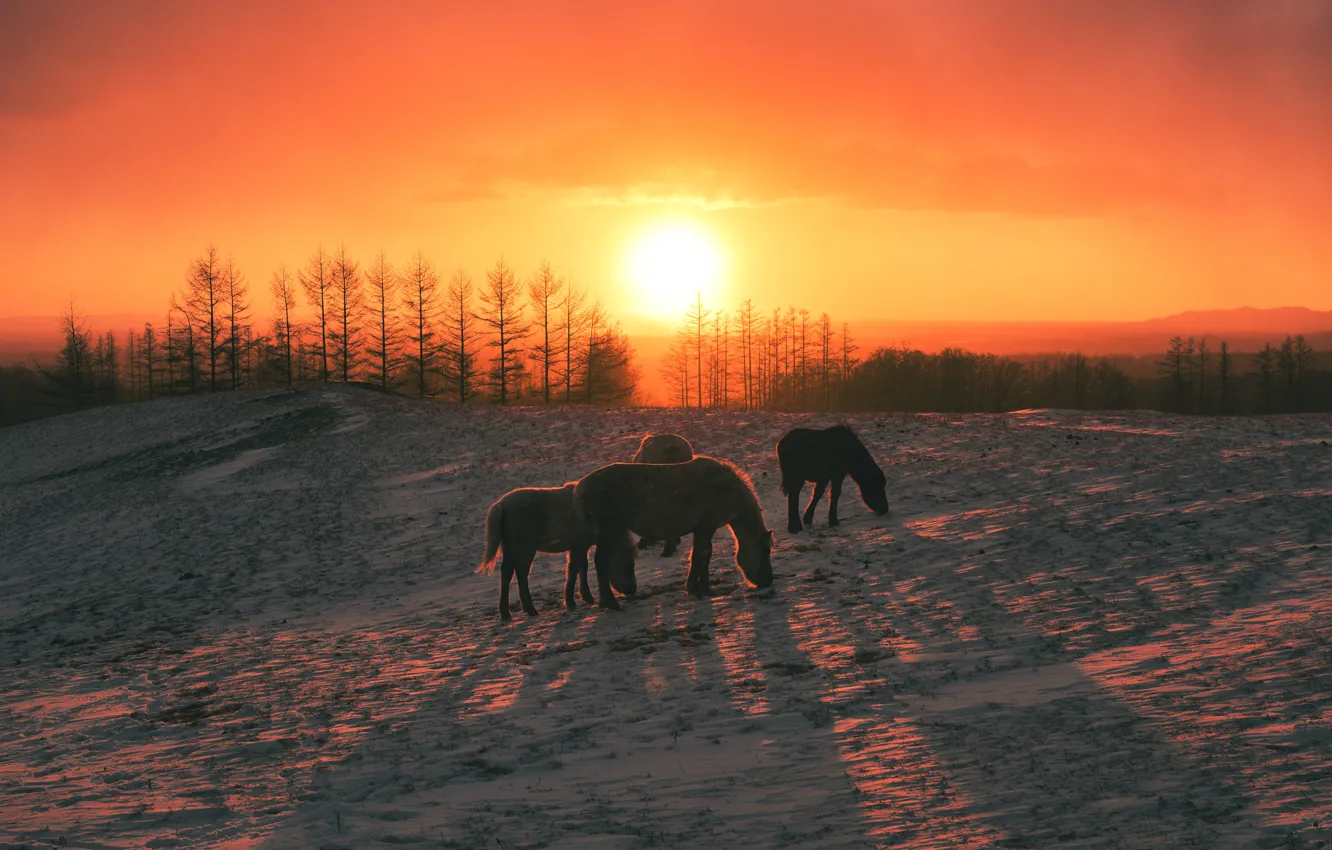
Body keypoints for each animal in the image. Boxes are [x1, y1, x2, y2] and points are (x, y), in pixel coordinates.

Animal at [478, 483, 637, 620]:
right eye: (629, 565)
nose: (632, 591)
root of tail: (501, 505)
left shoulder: (580, 546)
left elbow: (583, 567)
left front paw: (587, 597)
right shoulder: (579, 545)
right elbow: (574, 568)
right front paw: (571, 603)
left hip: (510, 549)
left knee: (506, 574)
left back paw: (506, 614)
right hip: (525, 548)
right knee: (521, 574)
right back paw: (531, 610)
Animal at [574, 456, 774, 606]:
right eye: (765, 551)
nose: (768, 581)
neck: (727, 490)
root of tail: (582, 487)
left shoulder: (704, 528)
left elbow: (705, 555)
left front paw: (702, 586)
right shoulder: (705, 527)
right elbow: (701, 554)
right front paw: (696, 588)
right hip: (609, 532)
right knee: (600, 562)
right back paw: (610, 602)